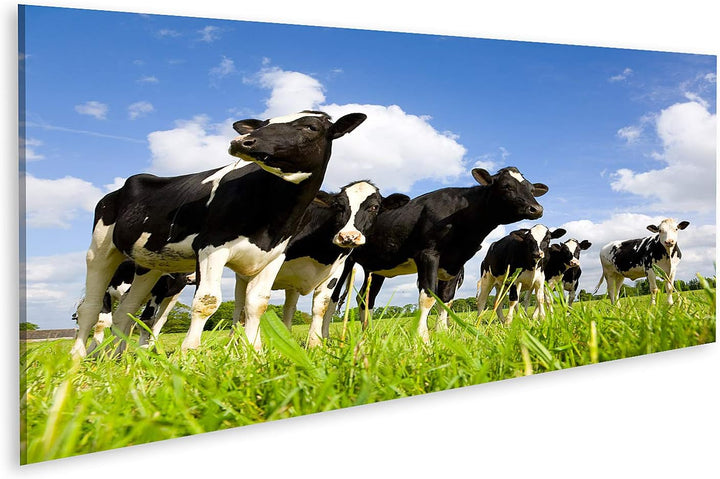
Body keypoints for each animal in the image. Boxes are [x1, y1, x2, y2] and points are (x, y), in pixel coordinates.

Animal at [70, 110, 367, 357]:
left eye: (310, 126)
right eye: (264, 123)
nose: (242, 141)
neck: (274, 213)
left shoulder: (274, 256)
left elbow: (257, 304)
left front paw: (253, 354)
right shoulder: (211, 247)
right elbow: (206, 301)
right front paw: (189, 353)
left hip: (149, 265)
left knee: (126, 312)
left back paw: (114, 358)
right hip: (100, 250)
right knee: (91, 308)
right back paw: (79, 356)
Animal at [233, 181, 410, 347]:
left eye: (374, 207)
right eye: (339, 206)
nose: (348, 236)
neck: (320, 250)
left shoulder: (336, 270)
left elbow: (321, 305)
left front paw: (315, 344)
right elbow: (255, 302)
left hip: (293, 285)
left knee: (289, 309)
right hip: (242, 277)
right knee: (239, 306)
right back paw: (233, 341)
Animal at [330, 166, 549, 341]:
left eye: (531, 189)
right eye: (506, 186)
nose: (537, 208)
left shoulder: (455, 263)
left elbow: (446, 298)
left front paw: (443, 333)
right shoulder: (428, 254)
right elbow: (428, 296)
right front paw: (422, 337)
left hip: (377, 269)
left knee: (365, 299)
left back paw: (367, 333)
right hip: (346, 259)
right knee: (336, 297)